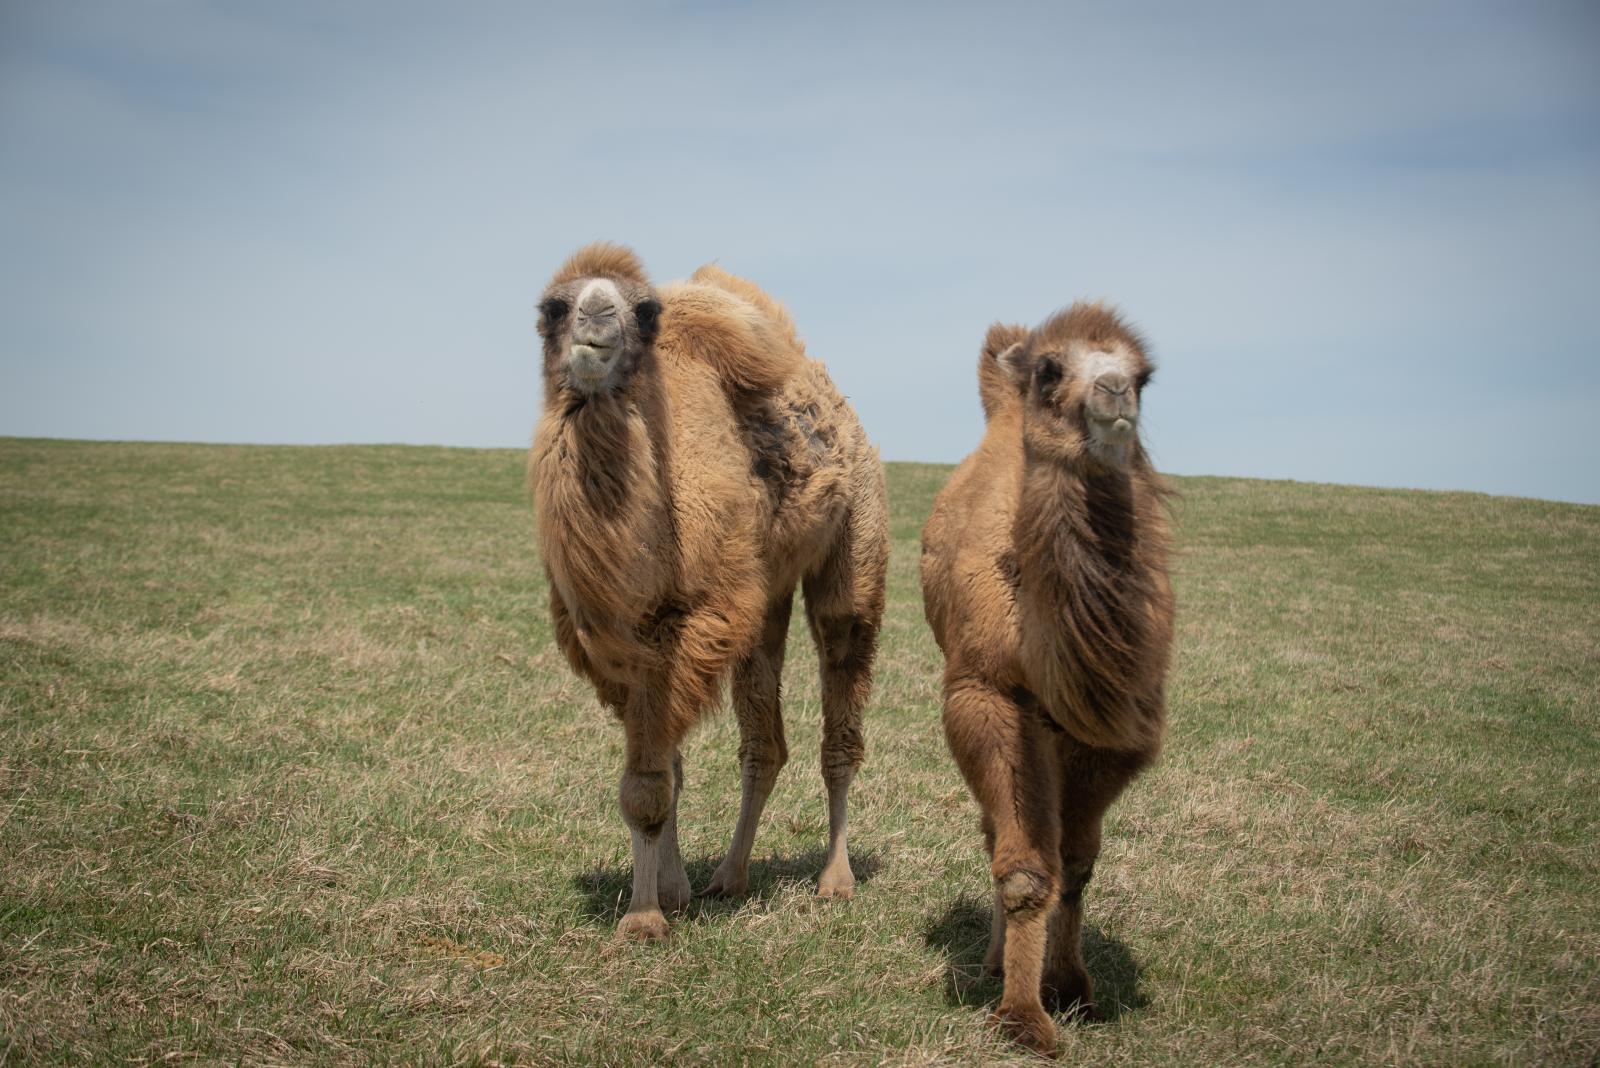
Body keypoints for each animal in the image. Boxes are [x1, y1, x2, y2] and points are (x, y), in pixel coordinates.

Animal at [534, 244, 889, 940]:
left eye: (644, 311)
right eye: (553, 307)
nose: (596, 318)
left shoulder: (693, 617)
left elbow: (648, 785)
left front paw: (643, 918)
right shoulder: (615, 640)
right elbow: (663, 772)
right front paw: (670, 892)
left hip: (855, 544)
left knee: (839, 713)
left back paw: (835, 879)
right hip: (763, 593)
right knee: (764, 744)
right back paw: (729, 876)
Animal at [921, 300, 1171, 1048]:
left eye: (1145, 376)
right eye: (1051, 369)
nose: (1114, 393)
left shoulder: (1115, 726)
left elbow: (1078, 864)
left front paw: (1070, 989)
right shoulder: (985, 691)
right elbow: (1030, 869)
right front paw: (1025, 1018)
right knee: (994, 833)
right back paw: (992, 964)